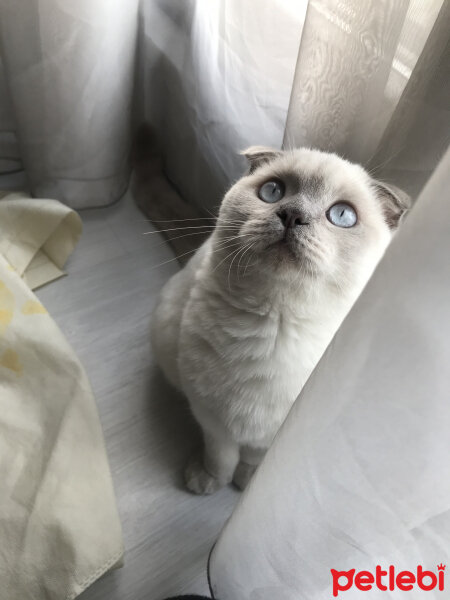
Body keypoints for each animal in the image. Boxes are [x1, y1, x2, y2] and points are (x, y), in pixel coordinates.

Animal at [149, 145, 410, 492]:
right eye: (273, 191)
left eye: (342, 215)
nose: (292, 215)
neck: (276, 327)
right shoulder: (212, 417)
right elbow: (220, 457)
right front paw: (209, 480)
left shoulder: (274, 434)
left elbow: (252, 458)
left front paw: (244, 483)